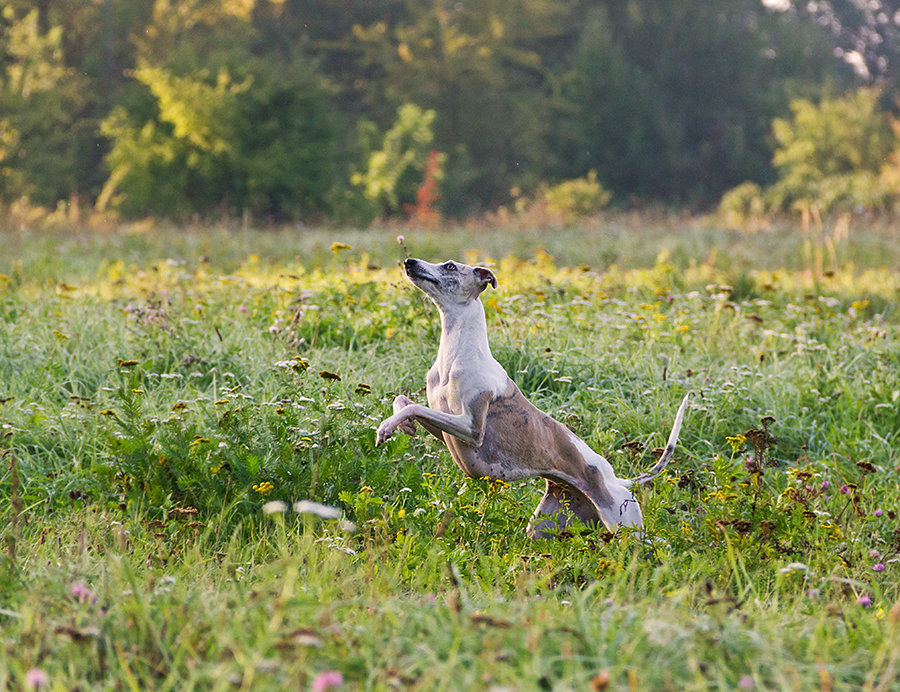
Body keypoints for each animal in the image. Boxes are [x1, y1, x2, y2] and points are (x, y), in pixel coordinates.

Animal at [374, 256, 688, 536]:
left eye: (450, 266)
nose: (409, 262)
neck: (454, 354)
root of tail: (618, 480)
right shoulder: (446, 432)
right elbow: (405, 402)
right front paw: (401, 424)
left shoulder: (471, 429)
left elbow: (414, 407)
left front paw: (386, 427)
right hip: (544, 527)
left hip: (625, 526)